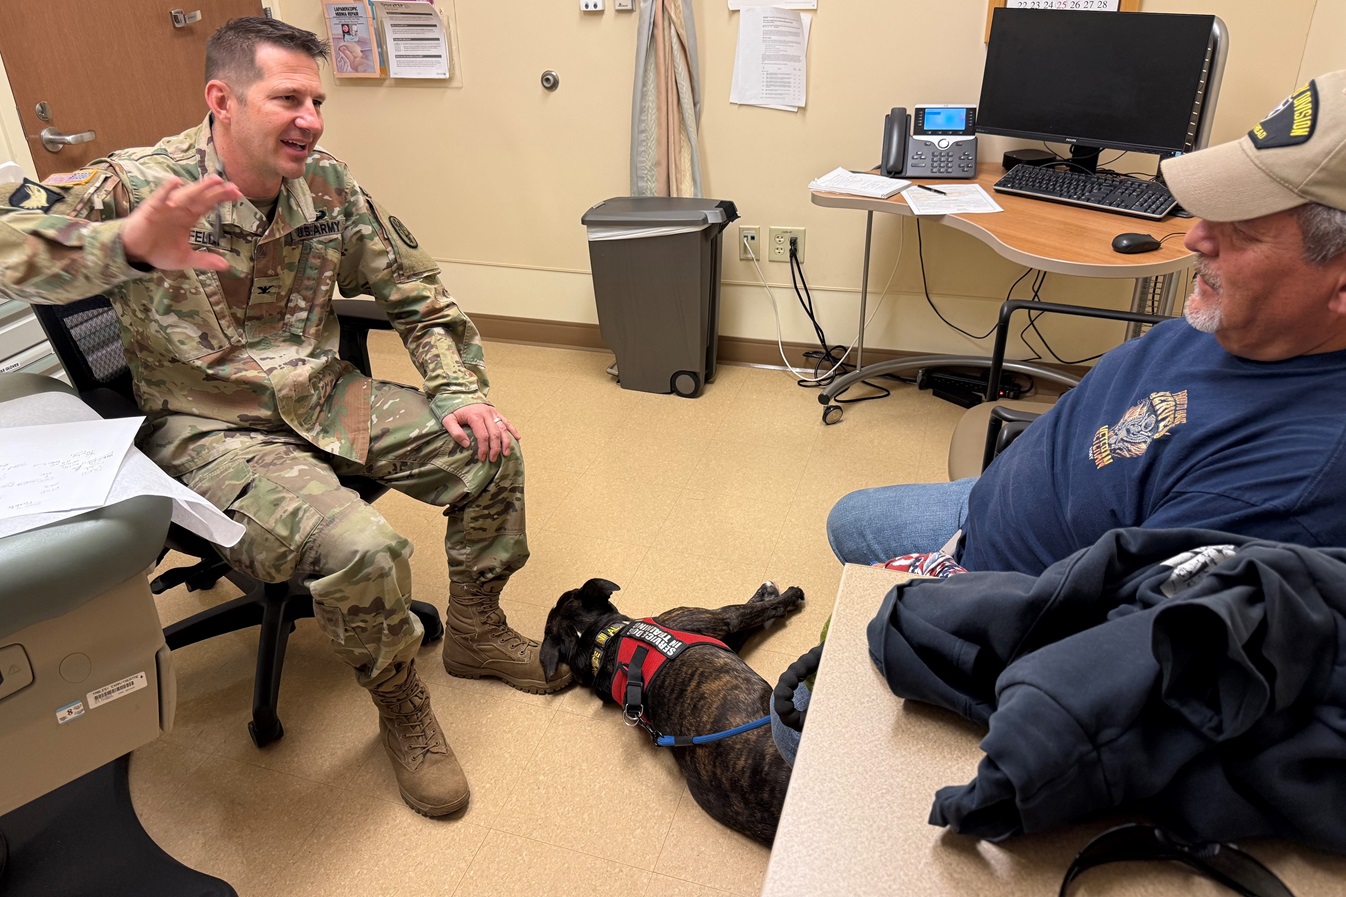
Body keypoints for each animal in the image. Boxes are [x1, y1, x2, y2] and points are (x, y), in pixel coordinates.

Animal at [538, 576, 807, 840]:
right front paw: (789, 596)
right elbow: (757, 611)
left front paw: (765, 592)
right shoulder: (723, 619)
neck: (602, 642)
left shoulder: (724, 638)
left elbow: (751, 614)